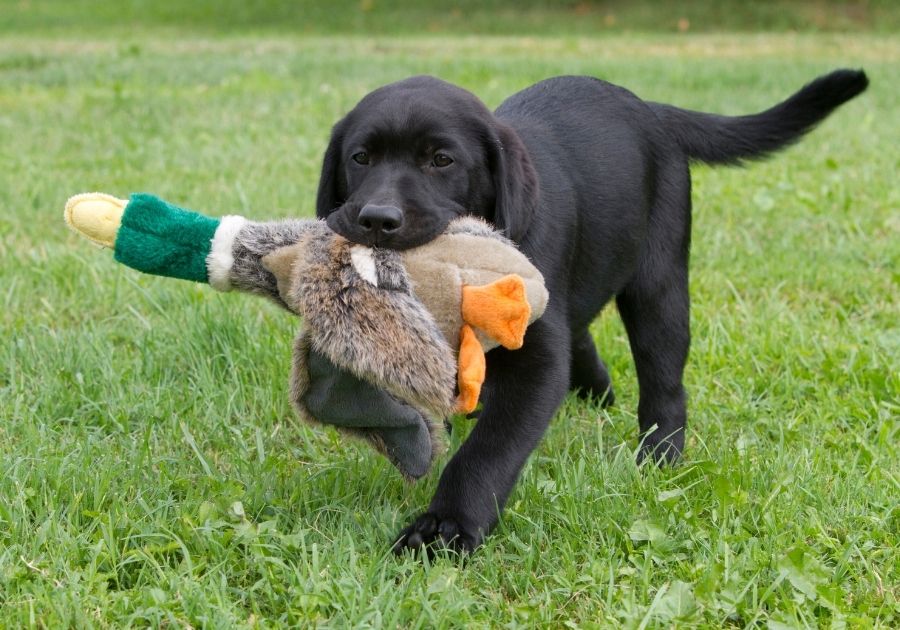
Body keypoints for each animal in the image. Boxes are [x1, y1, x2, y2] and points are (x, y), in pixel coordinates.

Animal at [314, 70, 864, 552]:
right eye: (360, 158)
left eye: (441, 160)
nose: (378, 219)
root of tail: (652, 110)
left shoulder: (537, 361)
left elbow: (489, 450)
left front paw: (447, 526)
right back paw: (598, 390)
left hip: (659, 285)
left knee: (664, 382)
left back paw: (660, 458)